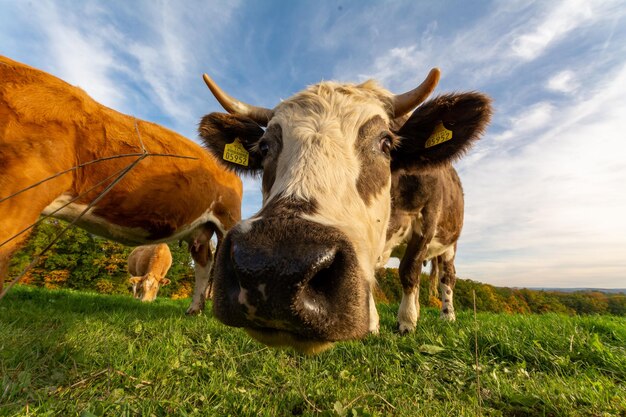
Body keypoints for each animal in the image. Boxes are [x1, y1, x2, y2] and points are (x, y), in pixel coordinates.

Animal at [197, 66, 490, 352]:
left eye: (386, 142)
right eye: (264, 146)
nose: (275, 269)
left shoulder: (425, 221)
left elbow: (409, 272)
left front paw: (407, 323)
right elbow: (373, 275)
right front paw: (372, 326)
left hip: (449, 243)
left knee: (447, 277)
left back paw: (447, 314)